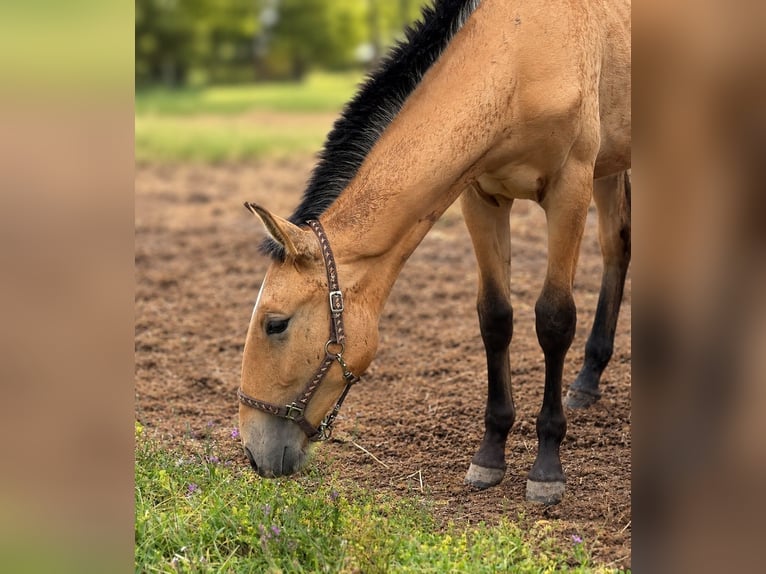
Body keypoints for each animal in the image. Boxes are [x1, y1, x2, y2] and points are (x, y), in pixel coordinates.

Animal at [238, 0, 630, 505]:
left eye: (276, 324)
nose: (254, 452)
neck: (519, 55)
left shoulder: (569, 191)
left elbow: (554, 320)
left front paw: (546, 468)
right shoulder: (481, 197)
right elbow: (495, 318)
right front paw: (489, 455)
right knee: (617, 247)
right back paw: (586, 381)